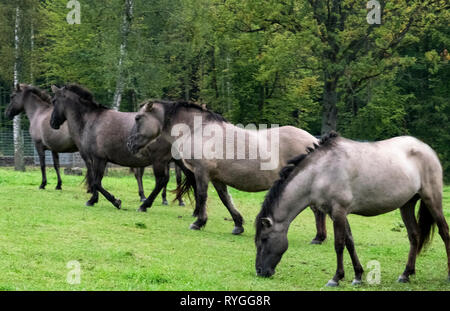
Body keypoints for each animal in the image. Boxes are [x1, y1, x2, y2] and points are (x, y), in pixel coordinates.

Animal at [49, 84, 188, 208]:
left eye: (54, 101)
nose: (52, 123)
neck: (90, 122)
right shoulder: (96, 160)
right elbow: (95, 181)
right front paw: (94, 199)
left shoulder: (98, 159)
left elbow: (96, 182)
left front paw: (114, 201)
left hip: (160, 161)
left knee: (162, 181)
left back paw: (146, 204)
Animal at [126, 100, 326, 241]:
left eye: (138, 118)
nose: (129, 144)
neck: (198, 130)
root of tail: (314, 141)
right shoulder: (217, 178)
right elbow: (226, 199)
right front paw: (238, 225)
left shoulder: (202, 172)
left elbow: (202, 196)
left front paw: (198, 222)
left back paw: (319, 237)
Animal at [255, 132, 448, 288]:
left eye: (264, 239)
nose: (260, 271)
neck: (320, 172)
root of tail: (426, 148)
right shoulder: (338, 214)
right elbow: (350, 242)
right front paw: (357, 276)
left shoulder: (339, 212)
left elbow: (339, 245)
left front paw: (336, 278)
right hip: (407, 204)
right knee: (414, 236)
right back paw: (405, 274)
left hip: (432, 199)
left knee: (444, 232)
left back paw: (447, 274)